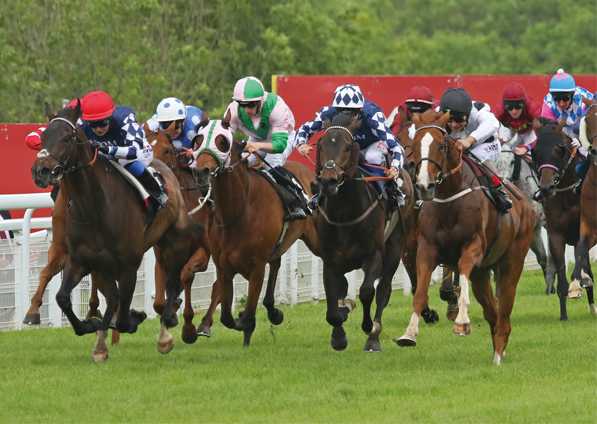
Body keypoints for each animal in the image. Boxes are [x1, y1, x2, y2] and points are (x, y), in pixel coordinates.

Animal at [30, 102, 189, 362]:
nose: (40, 171)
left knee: (174, 283)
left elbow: (124, 318)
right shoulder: (82, 260)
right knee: (113, 297)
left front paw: (133, 319)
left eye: (66, 138)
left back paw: (165, 331)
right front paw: (92, 328)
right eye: (42, 138)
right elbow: (63, 298)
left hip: (174, 241)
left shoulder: (129, 266)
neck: (95, 206)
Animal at [193, 115, 318, 344]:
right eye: (198, 139)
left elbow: (250, 314)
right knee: (276, 263)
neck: (238, 211)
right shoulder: (223, 267)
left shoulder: (256, 268)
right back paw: (273, 311)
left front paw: (246, 326)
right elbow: (226, 317)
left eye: (222, 141)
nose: (200, 172)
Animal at [316, 112, 420, 352]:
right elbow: (333, 302)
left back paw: (374, 337)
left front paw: (370, 328)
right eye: (321, 145)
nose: (327, 181)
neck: (345, 214)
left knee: (383, 290)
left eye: (347, 147)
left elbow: (367, 292)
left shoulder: (374, 255)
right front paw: (339, 335)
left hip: (395, 245)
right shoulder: (330, 260)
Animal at [398, 110, 532, 364]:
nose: (424, 186)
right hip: (481, 274)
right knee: (492, 312)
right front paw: (409, 333)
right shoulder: (425, 250)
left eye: (441, 145)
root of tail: (524, 203)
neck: (449, 198)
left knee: (504, 311)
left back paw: (498, 355)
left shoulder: (473, 248)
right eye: (416, 145)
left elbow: (461, 274)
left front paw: (461, 322)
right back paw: (498, 349)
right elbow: (419, 294)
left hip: (512, 262)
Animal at [532, 116, 592, 318]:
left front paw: (580, 284)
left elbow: (581, 260)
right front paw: (564, 316)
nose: (546, 188)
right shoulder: (555, 236)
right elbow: (562, 281)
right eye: (535, 152)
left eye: (558, 150)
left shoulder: (584, 230)